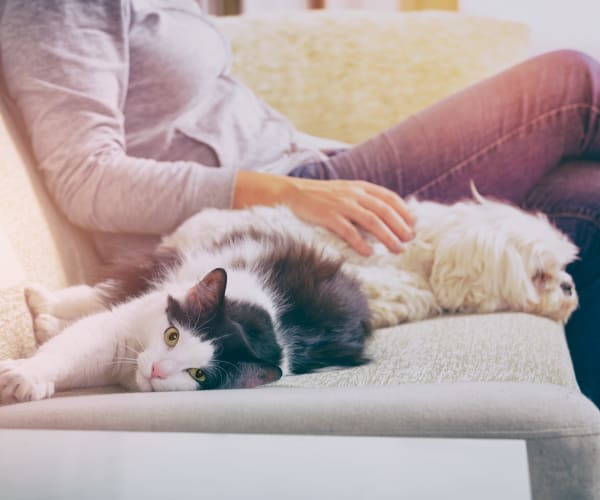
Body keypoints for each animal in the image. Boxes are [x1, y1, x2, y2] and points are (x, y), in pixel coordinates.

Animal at [24, 186, 580, 338]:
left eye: (564, 270)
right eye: (540, 276)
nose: (571, 288)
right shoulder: (390, 282)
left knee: (101, 296)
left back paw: (44, 309)